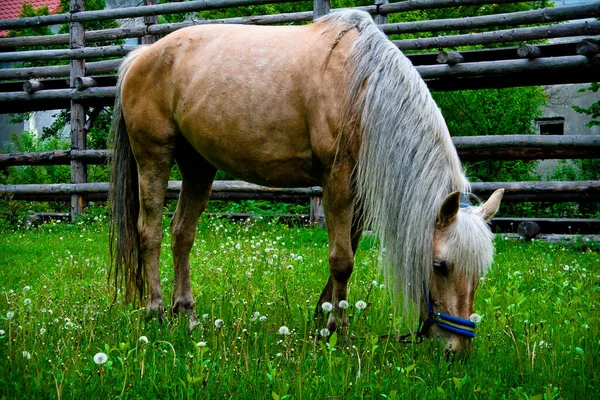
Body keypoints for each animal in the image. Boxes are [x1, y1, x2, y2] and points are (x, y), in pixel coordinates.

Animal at [109, 8, 502, 354]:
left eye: (481, 272)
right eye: (440, 265)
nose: (458, 349)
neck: (363, 86)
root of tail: (142, 56)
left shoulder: (357, 191)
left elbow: (348, 250)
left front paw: (322, 318)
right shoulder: (337, 179)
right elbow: (342, 259)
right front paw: (338, 331)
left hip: (198, 166)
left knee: (182, 234)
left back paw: (187, 316)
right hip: (154, 156)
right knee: (151, 232)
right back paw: (157, 311)